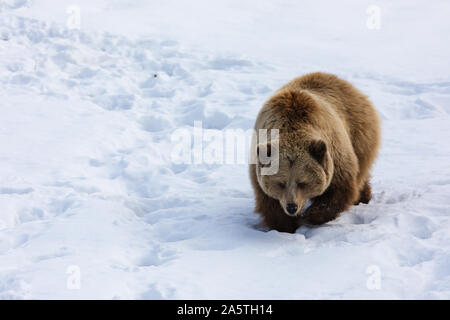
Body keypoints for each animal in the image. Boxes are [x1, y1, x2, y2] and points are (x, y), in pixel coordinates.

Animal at [250, 72, 380, 232]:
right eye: (281, 183)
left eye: (303, 182)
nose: (292, 207)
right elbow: (270, 203)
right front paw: (285, 226)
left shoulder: (334, 156)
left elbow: (338, 191)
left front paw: (310, 215)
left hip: (359, 133)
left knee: (360, 170)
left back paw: (363, 198)